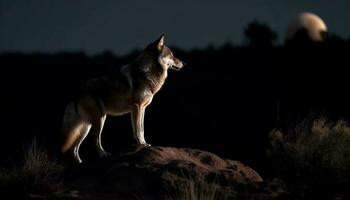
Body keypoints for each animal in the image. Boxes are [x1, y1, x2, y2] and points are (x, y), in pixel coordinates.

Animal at [60, 34, 185, 162]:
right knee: (94, 140)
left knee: (74, 148)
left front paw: (144, 144)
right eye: (171, 55)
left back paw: (80, 162)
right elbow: (138, 129)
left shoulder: (142, 108)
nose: (184, 63)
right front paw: (141, 144)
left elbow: (142, 128)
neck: (146, 73)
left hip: (86, 126)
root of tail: (79, 89)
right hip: (100, 119)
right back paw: (103, 155)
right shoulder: (136, 107)